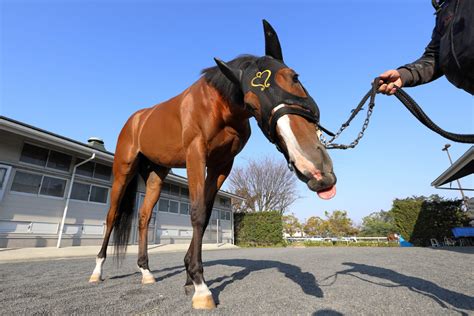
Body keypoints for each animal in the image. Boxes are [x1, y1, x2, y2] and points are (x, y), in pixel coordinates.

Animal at [89, 19, 336, 308]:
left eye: (294, 77)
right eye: (250, 103)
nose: (315, 167)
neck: (217, 105)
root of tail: (136, 120)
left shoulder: (222, 164)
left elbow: (206, 216)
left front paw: (188, 277)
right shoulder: (196, 156)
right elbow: (196, 213)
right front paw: (200, 287)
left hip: (157, 174)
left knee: (143, 217)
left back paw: (146, 272)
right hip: (123, 170)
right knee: (112, 216)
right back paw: (97, 271)